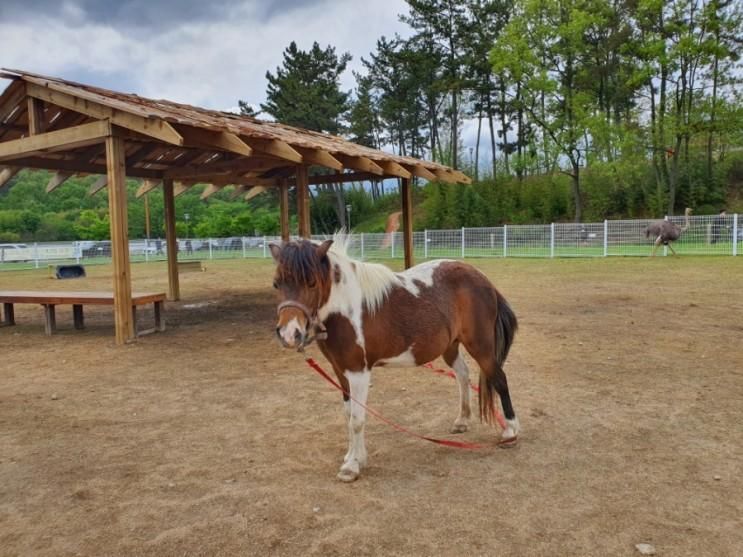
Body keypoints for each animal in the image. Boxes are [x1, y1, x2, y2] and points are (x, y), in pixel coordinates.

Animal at [270, 235, 520, 482]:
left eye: (312, 282)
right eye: (276, 284)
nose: (289, 334)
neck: (346, 310)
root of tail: (484, 280)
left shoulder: (358, 372)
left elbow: (357, 419)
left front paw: (352, 466)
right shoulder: (340, 371)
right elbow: (349, 414)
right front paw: (355, 456)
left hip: (481, 346)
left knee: (499, 379)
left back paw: (511, 431)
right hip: (451, 346)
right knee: (463, 374)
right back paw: (462, 421)